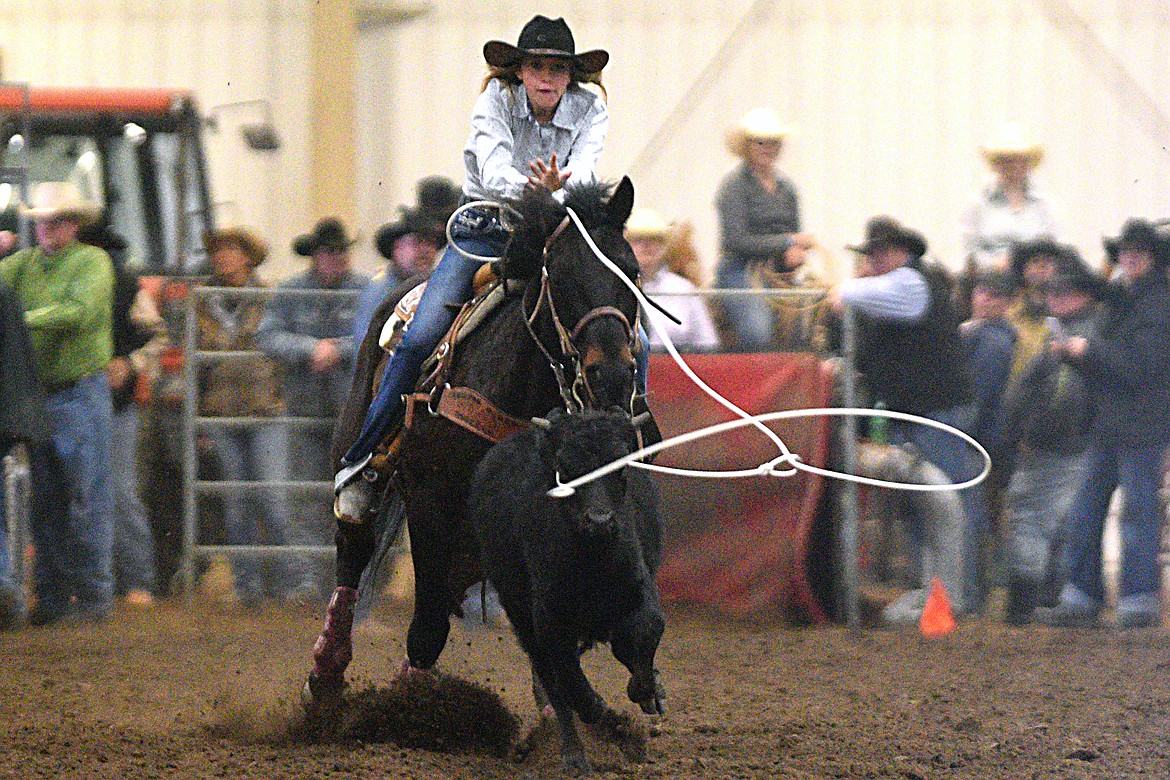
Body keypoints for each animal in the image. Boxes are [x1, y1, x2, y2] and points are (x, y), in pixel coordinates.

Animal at [301, 180, 645, 706]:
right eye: (562, 275)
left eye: (633, 272)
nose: (611, 376)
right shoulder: (429, 502)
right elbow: (426, 630)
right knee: (354, 547)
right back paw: (324, 676)